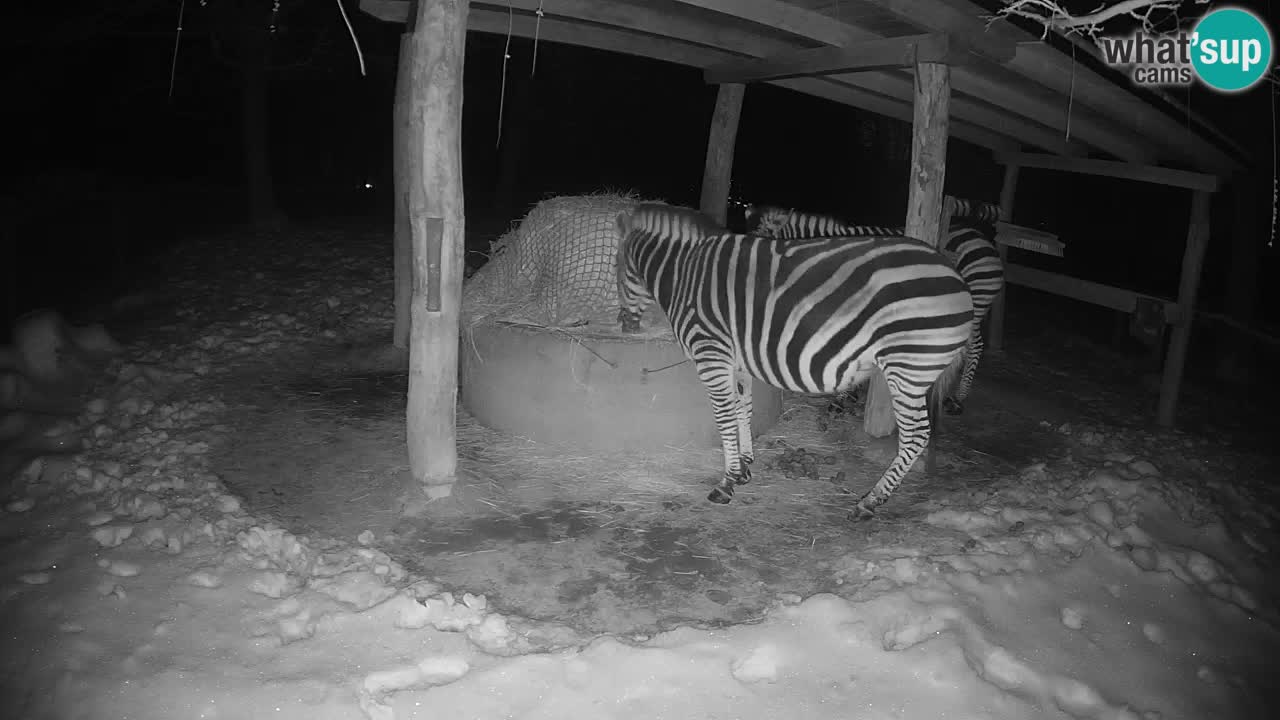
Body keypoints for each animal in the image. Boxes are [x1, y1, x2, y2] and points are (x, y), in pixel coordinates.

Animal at [616, 203, 972, 519]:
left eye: (617, 271)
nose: (625, 326)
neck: (683, 273)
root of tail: (957, 279)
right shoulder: (737, 360)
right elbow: (743, 408)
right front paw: (744, 467)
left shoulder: (711, 353)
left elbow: (724, 416)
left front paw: (726, 483)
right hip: (917, 371)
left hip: (908, 368)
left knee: (915, 436)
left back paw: (869, 503)